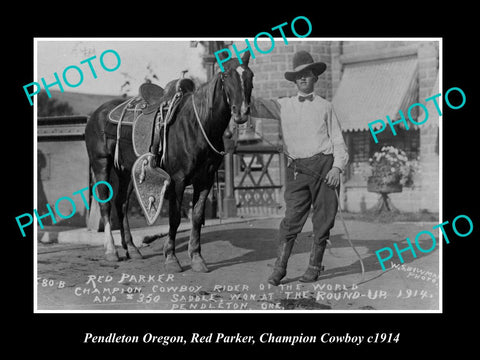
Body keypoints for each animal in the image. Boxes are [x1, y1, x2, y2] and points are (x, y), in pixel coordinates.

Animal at [85, 52, 255, 272]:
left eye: (250, 76)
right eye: (226, 76)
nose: (241, 112)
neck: (197, 124)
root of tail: (96, 114)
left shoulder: (206, 179)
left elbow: (197, 216)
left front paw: (197, 257)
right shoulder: (178, 179)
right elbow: (174, 218)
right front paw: (171, 258)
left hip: (126, 172)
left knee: (121, 204)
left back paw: (131, 248)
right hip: (101, 164)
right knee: (105, 204)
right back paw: (111, 251)